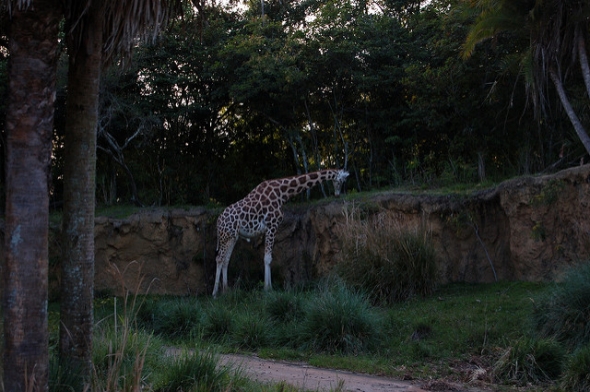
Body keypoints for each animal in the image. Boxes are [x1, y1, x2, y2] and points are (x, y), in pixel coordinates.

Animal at [214, 169, 350, 298]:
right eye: (340, 181)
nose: (337, 194)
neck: (282, 192)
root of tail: (218, 222)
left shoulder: (268, 229)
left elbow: (268, 258)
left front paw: (268, 287)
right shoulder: (272, 225)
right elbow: (268, 258)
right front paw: (268, 289)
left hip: (232, 237)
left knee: (226, 259)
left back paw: (226, 290)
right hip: (226, 236)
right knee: (219, 258)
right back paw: (215, 293)